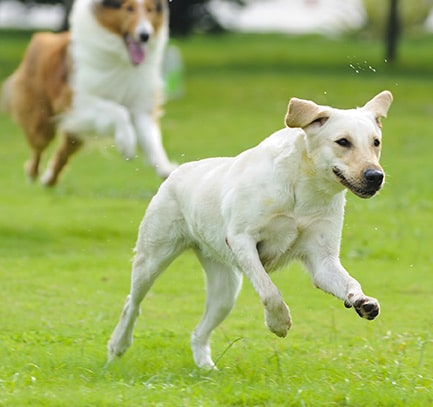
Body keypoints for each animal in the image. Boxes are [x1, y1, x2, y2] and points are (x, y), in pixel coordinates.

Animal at [1, 0, 175, 187]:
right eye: (129, 8)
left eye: (149, 10)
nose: (145, 35)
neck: (122, 58)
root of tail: (39, 39)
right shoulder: (77, 102)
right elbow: (118, 111)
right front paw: (126, 144)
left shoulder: (140, 105)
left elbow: (151, 140)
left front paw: (165, 168)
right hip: (42, 124)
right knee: (37, 149)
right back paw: (32, 173)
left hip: (74, 130)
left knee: (63, 152)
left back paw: (49, 179)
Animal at [107, 91, 392, 370]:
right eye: (343, 142)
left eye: (376, 142)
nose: (375, 176)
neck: (303, 187)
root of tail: (176, 173)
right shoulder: (241, 240)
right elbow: (270, 291)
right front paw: (279, 323)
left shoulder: (323, 261)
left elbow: (350, 282)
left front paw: (362, 301)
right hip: (152, 259)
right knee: (132, 304)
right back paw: (117, 346)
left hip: (226, 290)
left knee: (199, 331)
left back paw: (206, 367)